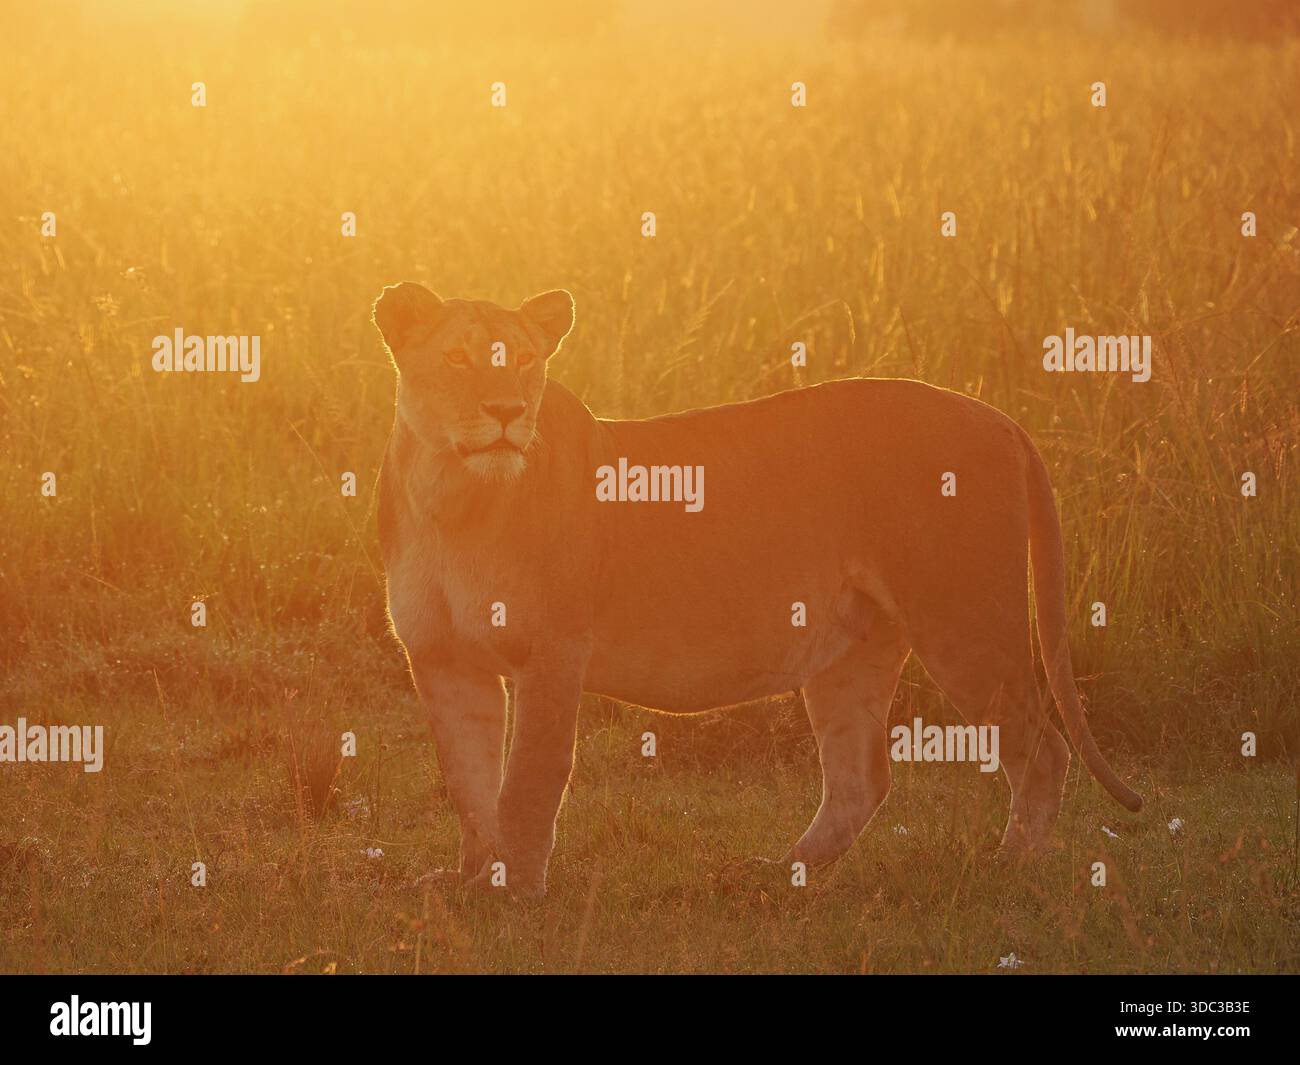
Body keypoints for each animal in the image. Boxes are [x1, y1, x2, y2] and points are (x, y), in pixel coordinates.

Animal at [372, 282, 1142, 897]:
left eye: (527, 361)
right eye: (459, 358)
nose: (505, 411)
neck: (453, 496)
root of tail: (1002, 418)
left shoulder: (553, 651)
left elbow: (528, 779)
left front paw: (518, 890)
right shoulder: (443, 659)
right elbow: (469, 783)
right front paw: (470, 879)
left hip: (964, 621)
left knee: (1041, 745)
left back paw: (1009, 864)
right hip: (855, 648)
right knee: (862, 775)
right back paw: (776, 872)